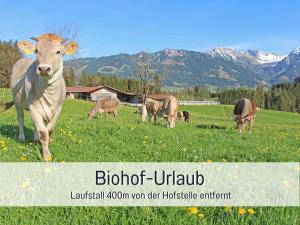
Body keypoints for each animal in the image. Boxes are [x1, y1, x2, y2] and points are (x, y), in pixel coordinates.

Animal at [2, 33, 78, 161]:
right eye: (37, 51)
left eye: (58, 52)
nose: (43, 69)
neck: (49, 92)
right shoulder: (33, 107)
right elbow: (43, 132)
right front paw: (46, 156)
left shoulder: (58, 109)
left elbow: (49, 131)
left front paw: (43, 144)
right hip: (18, 103)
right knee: (21, 118)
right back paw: (22, 138)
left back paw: (35, 138)